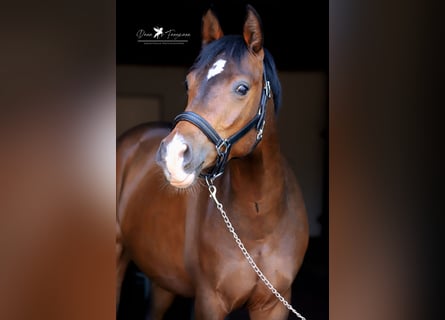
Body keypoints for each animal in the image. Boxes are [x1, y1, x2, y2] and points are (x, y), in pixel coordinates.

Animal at [116, 5, 306, 320]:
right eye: (188, 83)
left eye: (242, 88)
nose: (173, 155)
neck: (259, 219)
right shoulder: (209, 302)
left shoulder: (276, 304)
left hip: (163, 281)